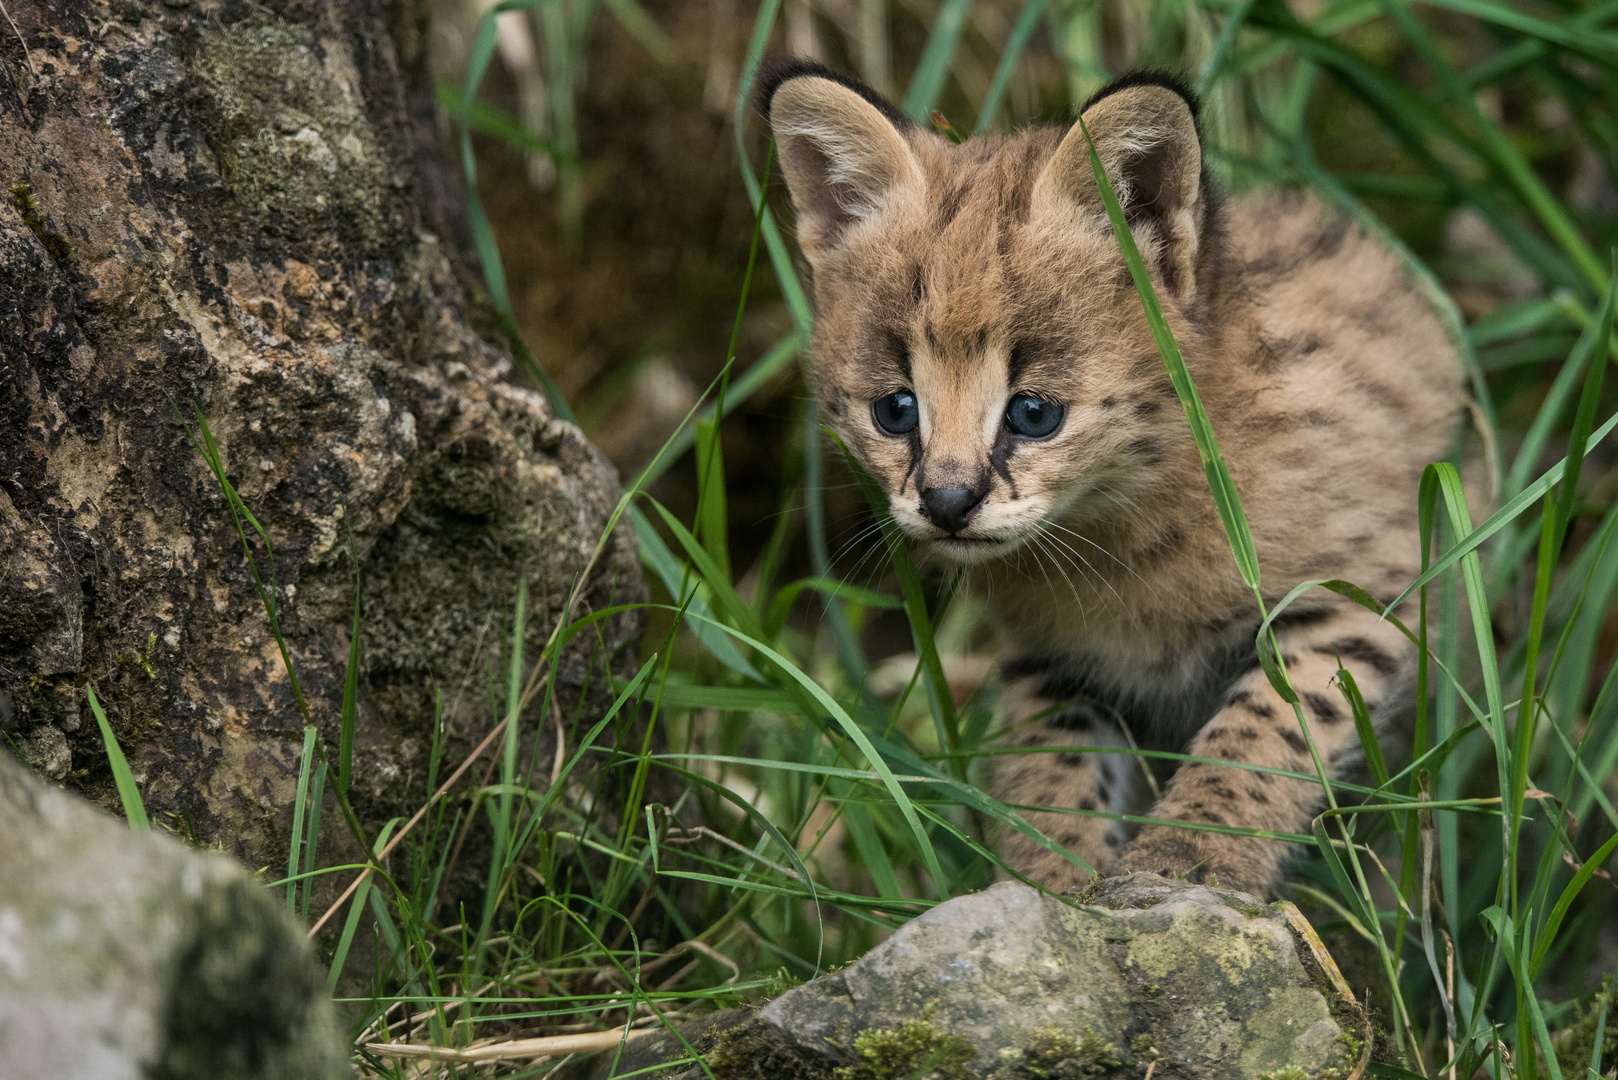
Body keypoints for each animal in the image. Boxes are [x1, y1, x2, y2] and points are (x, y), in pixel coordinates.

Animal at [760, 61, 1469, 906]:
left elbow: (1269, 724)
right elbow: (1050, 762)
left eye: (1034, 414)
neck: (1118, 524)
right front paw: (1051, 882)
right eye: (895, 410)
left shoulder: (1363, 587)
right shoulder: (1051, 651)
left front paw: (1194, 854)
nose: (947, 503)